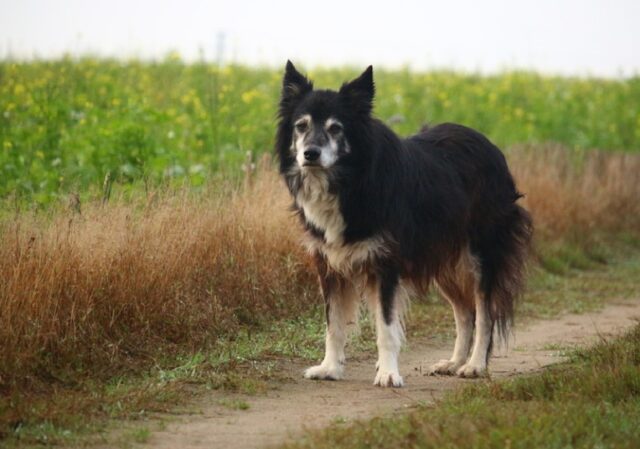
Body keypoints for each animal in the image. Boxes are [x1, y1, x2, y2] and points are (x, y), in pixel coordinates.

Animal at [278, 61, 532, 386]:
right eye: (301, 126)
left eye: (336, 128)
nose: (310, 154)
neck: (350, 181)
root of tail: (491, 147)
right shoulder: (329, 263)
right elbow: (333, 325)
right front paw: (329, 368)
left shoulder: (386, 262)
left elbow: (386, 326)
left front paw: (388, 373)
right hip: (444, 260)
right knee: (465, 312)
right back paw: (453, 362)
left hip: (480, 254)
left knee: (484, 311)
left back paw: (474, 365)